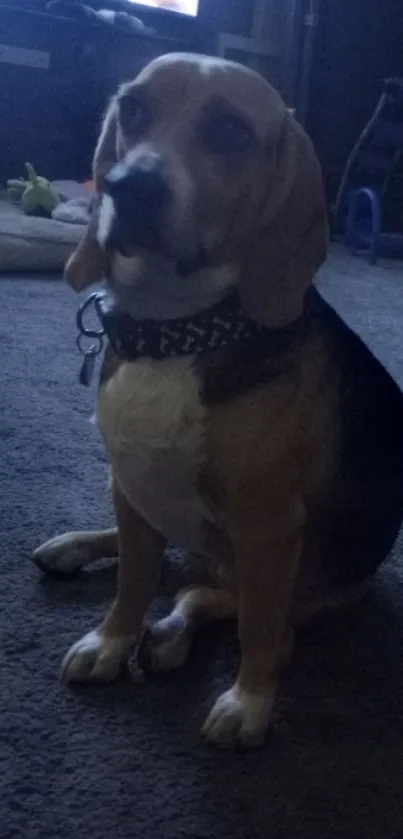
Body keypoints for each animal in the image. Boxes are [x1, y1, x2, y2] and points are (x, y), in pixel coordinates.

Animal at [32, 52, 403, 748]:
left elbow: (258, 628)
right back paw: (75, 549)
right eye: (134, 110)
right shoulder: (130, 485)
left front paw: (249, 701)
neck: (176, 334)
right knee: (169, 571)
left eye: (230, 132)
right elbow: (132, 582)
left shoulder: (270, 528)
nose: (126, 185)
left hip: (323, 589)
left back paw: (174, 636)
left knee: (217, 604)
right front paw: (111, 641)